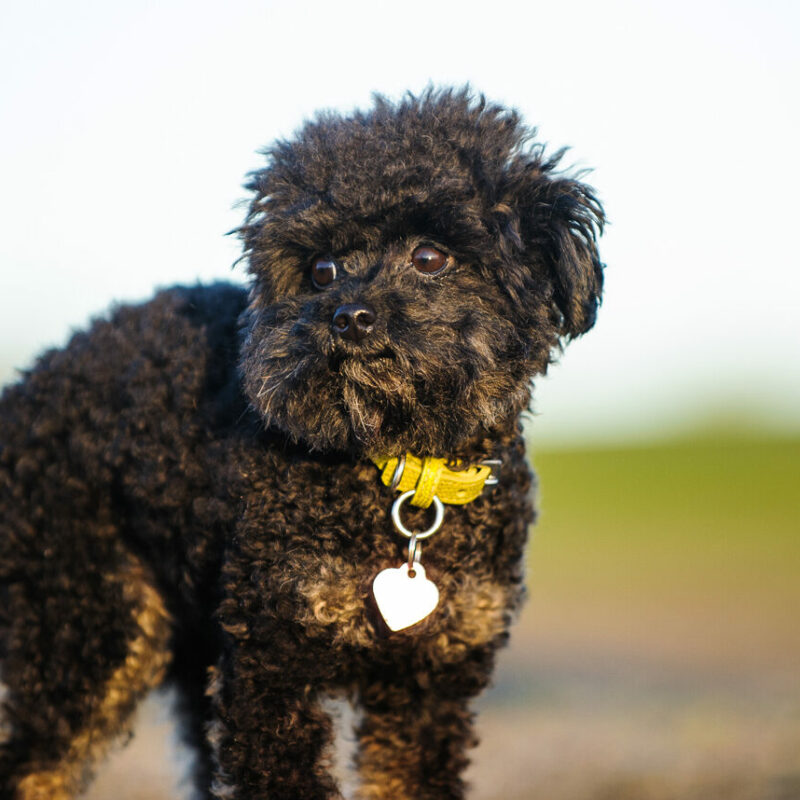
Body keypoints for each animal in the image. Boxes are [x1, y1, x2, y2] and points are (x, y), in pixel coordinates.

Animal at [0, 89, 600, 800]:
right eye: (321, 270)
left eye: (430, 257)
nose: (348, 317)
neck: (399, 467)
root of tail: (26, 388)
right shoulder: (271, 660)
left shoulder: (428, 683)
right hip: (91, 627)